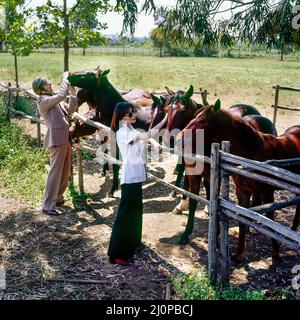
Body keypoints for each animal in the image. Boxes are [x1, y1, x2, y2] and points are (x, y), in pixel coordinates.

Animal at [180, 101, 300, 262]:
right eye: (194, 116)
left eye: (203, 120)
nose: (180, 137)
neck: (252, 153)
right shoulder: (242, 192)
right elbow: (242, 219)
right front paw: (238, 254)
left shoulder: (267, 192)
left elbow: (271, 219)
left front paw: (276, 253)